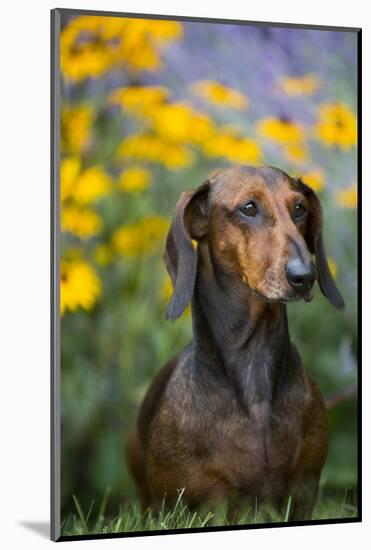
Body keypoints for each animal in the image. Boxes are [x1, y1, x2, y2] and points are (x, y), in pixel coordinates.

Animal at [128, 166, 346, 524]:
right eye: (248, 208)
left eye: (300, 208)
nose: (305, 277)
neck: (253, 367)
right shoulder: (200, 502)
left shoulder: (303, 488)